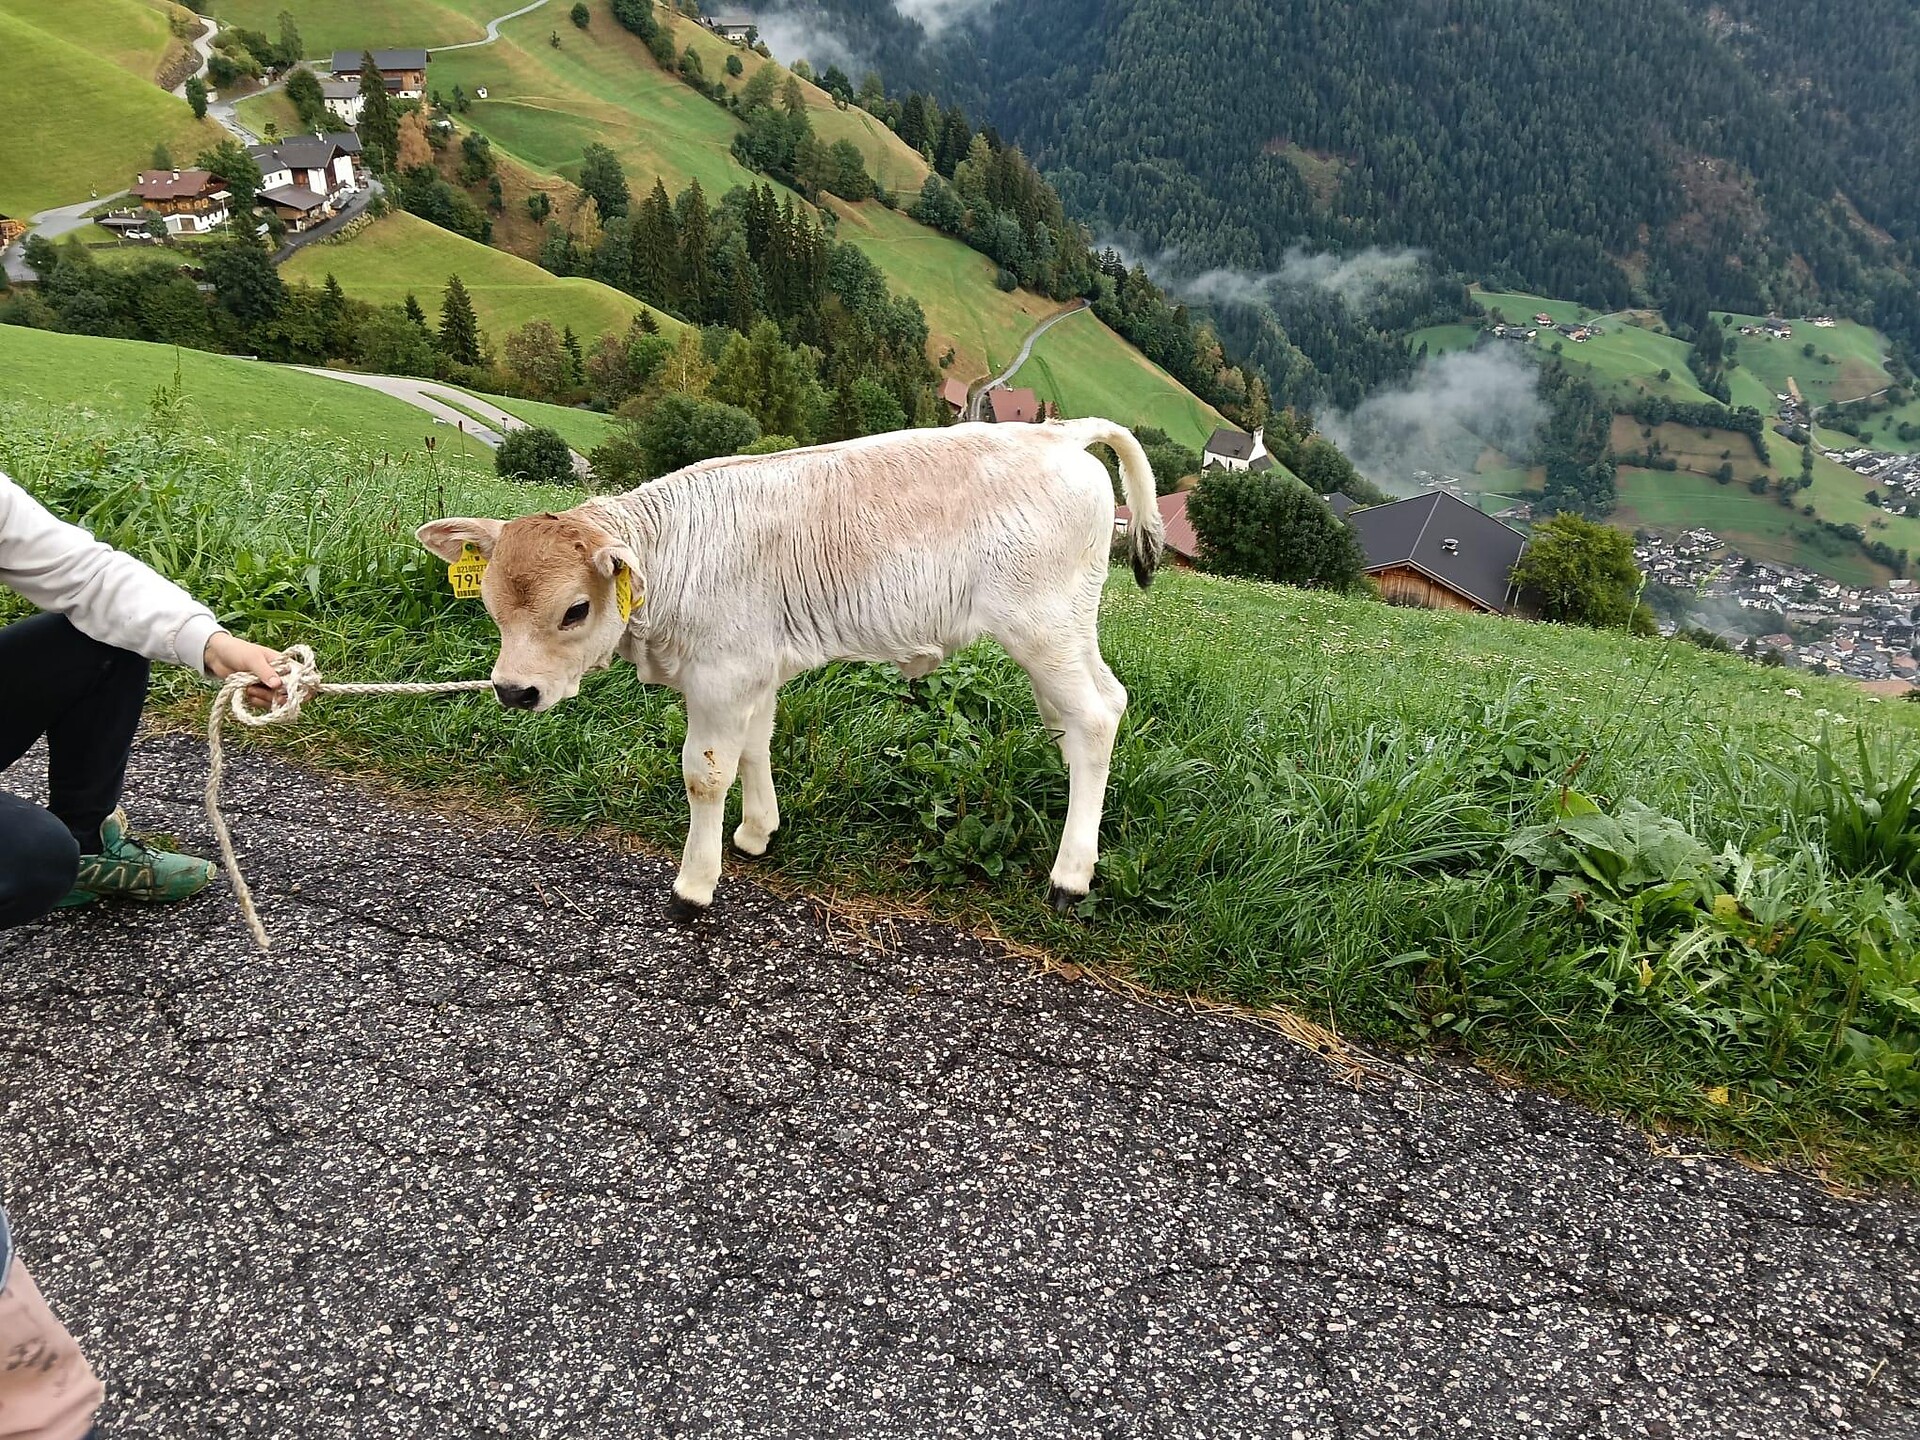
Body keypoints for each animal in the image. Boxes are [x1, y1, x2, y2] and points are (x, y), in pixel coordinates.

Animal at [417, 419, 1164, 918]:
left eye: (574, 610)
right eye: (490, 604)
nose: (514, 690)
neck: (671, 558)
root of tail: (1059, 432)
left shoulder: (720, 675)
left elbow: (705, 774)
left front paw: (694, 885)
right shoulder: (753, 669)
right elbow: (755, 746)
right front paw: (756, 833)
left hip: (1043, 625)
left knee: (1097, 714)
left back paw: (1071, 872)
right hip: (1061, 632)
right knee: (1088, 711)